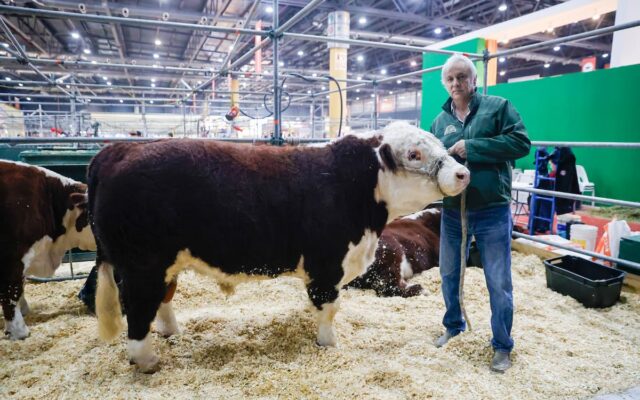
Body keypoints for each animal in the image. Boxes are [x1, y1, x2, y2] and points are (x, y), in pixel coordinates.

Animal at [89, 121, 470, 372]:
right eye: (414, 153)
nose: (463, 173)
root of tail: (121, 149)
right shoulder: (326, 264)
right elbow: (329, 308)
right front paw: (329, 344)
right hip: (143, 267)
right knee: (139, 311)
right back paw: (147, 360)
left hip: (163, 265)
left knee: (163, 300)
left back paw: (172, 332)